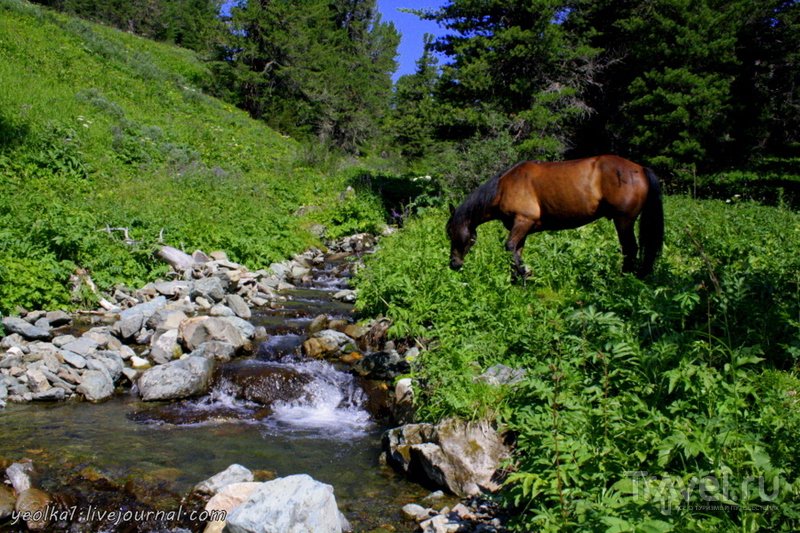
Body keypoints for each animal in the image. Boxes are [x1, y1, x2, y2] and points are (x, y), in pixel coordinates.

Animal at [446, 156, 664, 280]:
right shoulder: (522, 228)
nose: (453, 264)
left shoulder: (523, 221)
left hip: (624, 220)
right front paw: (518, 281)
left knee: (630, 249)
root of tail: (641, 169)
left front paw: (526, 274)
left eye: (450, 233)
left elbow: (509, 248)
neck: (503, 188)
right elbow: (515, 252)